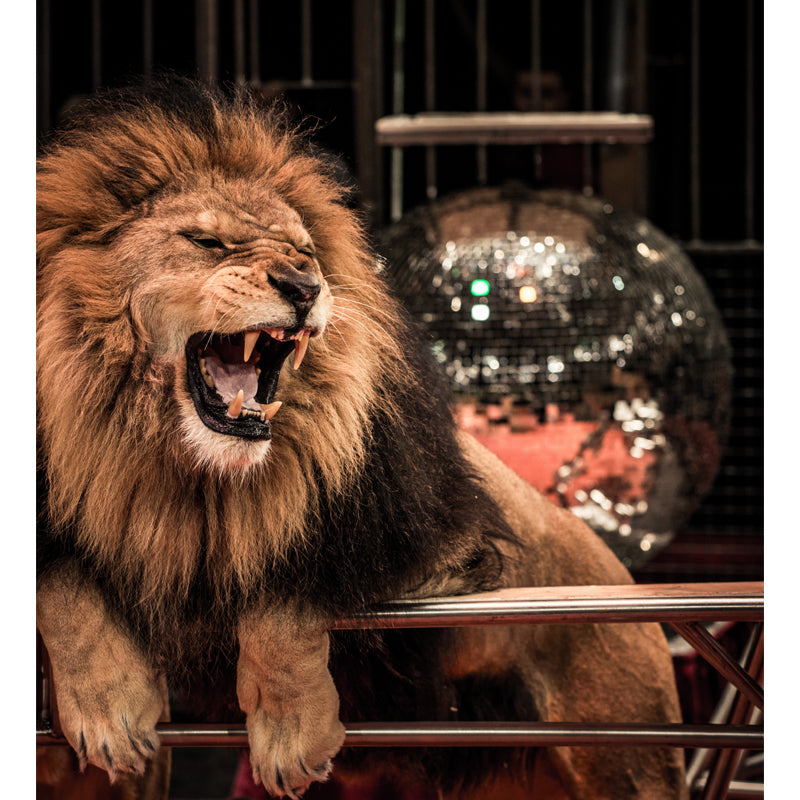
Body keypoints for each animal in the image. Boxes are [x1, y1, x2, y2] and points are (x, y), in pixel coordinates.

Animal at [36, 76, 687, 800]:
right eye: (205, 242)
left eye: (305, 253)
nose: (302, 285)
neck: (190, 470)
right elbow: (61, 587)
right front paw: (110, 713)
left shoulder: (453, 547)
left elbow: (290, 581)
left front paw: (291, 733)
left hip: (625, 756)